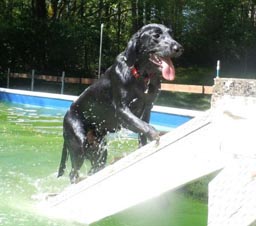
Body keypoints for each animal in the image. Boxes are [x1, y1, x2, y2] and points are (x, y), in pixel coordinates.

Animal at [57, 23, 183, 184]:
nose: (179, 47)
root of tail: (66, 115)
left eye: (171, 34)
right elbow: (141, 124)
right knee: (73, 173)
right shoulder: (122, 110)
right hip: (79, 143)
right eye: (156, 35)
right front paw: (155, 133)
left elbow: (142, 130)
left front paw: (144, 145)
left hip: (99, 149)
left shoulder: (148, 107)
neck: (141, 75)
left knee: (95, 167)